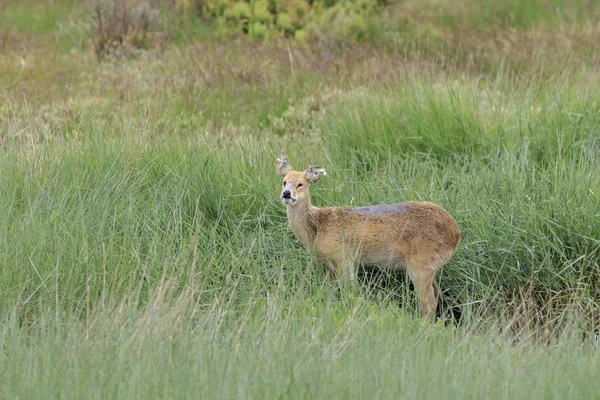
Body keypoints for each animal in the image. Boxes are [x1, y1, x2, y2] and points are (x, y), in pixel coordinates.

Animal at [274, 153, 462, 318]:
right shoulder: (329, 264)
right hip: (429, 266)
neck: (317, 226)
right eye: (284, 182)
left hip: (421, 264)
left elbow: (350, 290)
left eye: (300, 184)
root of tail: (456, 233)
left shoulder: (344, 257)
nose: (286, 194)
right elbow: (327, 291)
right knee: (436, 296)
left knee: (429, 302)